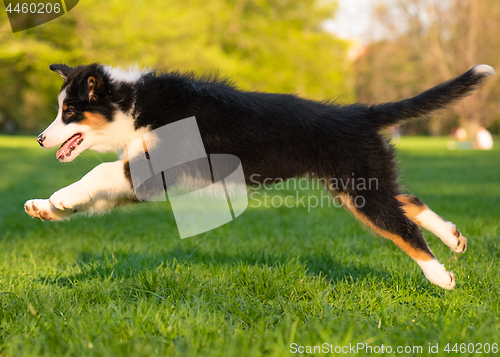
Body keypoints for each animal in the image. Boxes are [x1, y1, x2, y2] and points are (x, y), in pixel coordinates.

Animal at [26, 62, 496, 290]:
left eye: (70, 112)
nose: (39, 138)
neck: (133, 105)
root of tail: (360, 112)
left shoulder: (156, 164)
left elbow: (100, 170)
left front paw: (59, 198)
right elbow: (99, 189)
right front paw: (46, 207)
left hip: (359, 186)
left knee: (402, 227)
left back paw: (441, 277)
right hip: (361, 181)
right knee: (407, 201)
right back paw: (454, 238)